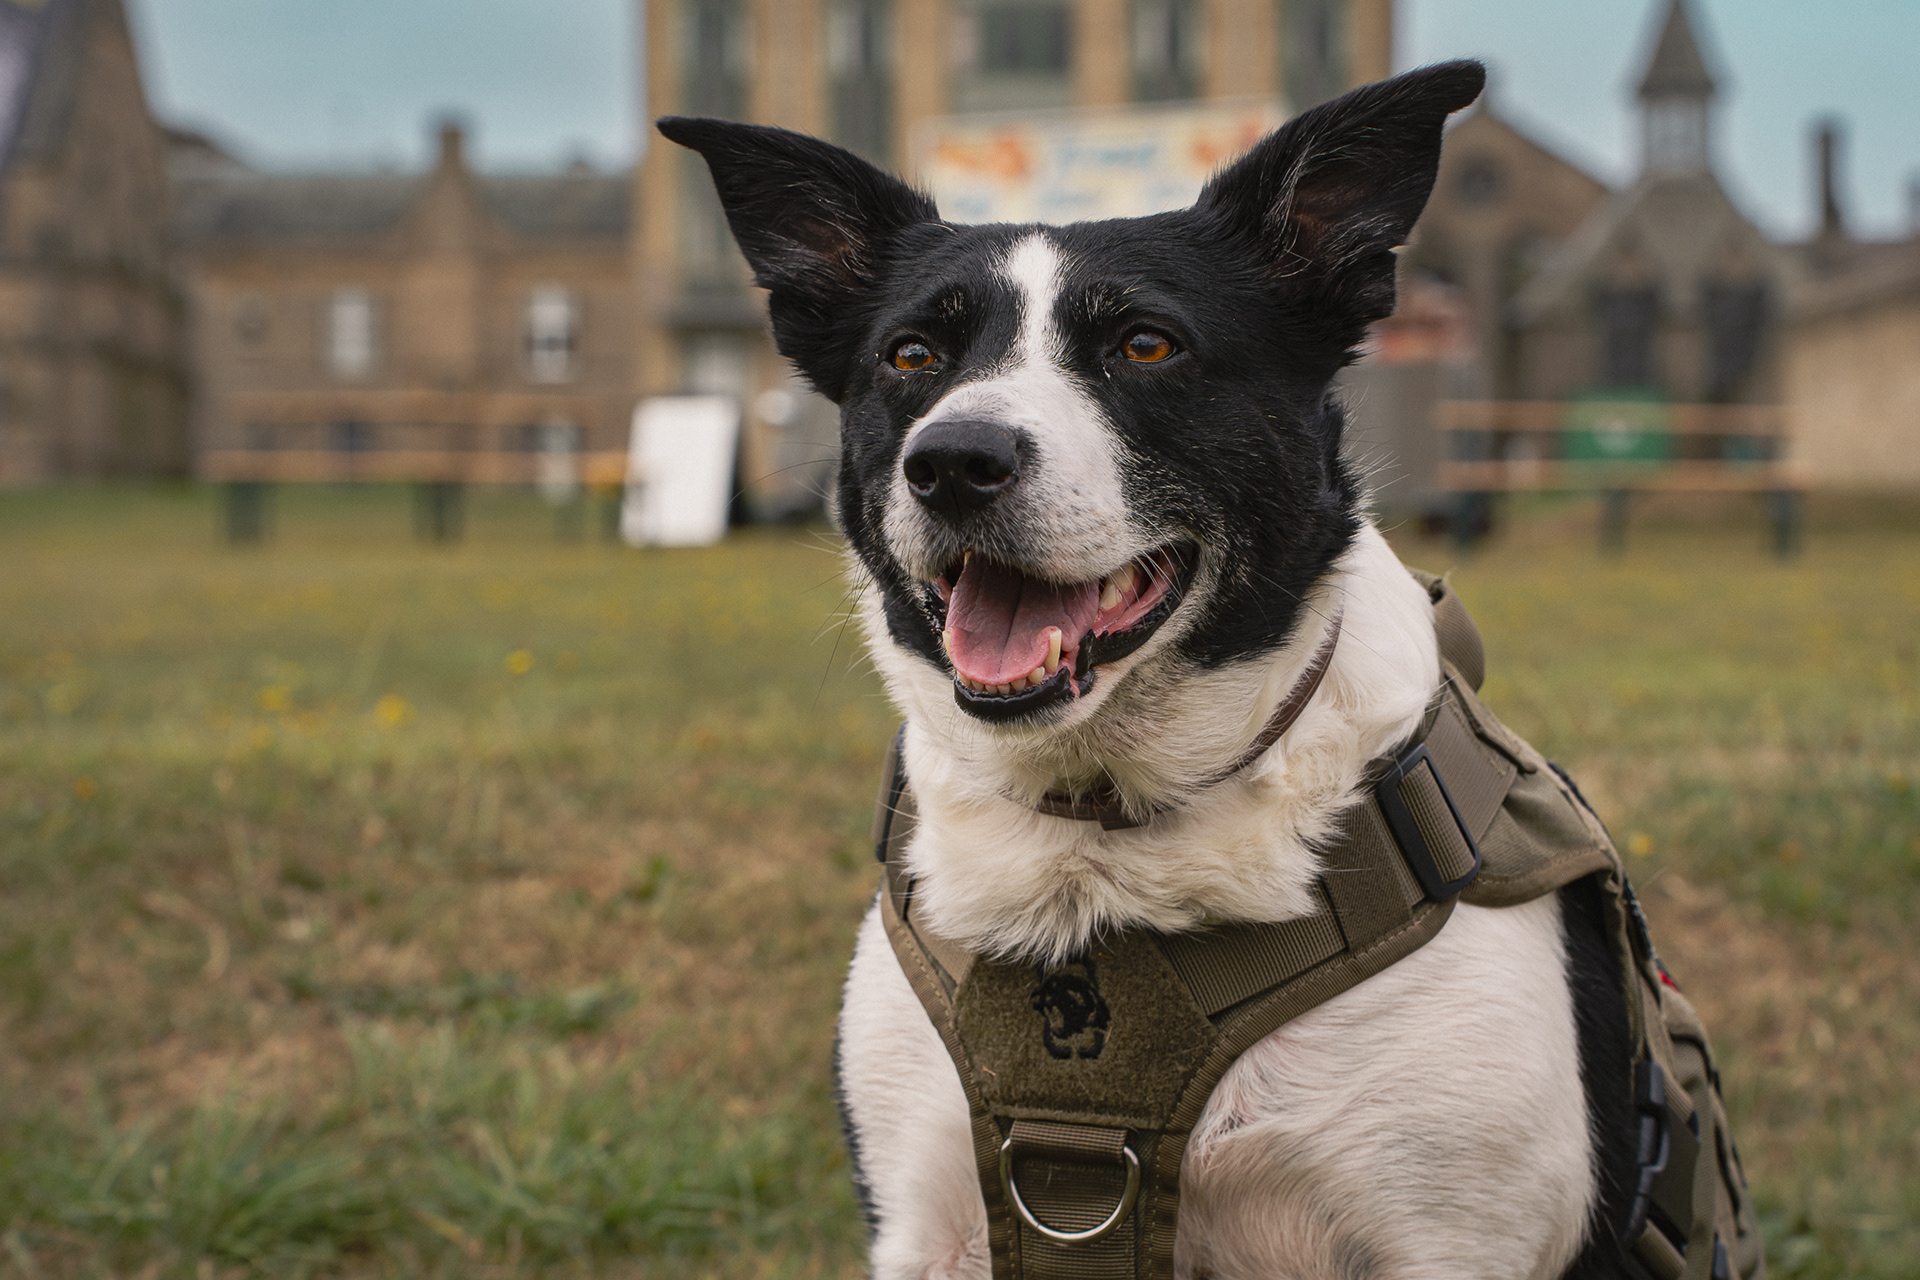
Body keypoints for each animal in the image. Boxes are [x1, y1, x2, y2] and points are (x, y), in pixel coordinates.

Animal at [662, 61, 1659, 1279]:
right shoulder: (928, 1219)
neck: (1096, 829)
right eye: (911, 357)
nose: (953, 460)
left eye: (1145, 345)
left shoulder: (1452, 1235)